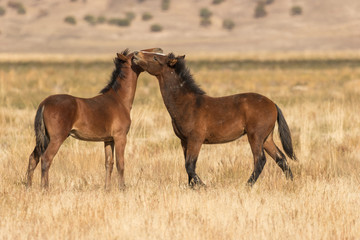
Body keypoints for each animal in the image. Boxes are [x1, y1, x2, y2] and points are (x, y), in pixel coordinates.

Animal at [26, 47, 164, 189]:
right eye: (136, 54)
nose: (159, 50)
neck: (119, 100)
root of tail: (44, 103)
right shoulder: (120, 137)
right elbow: (120, 164)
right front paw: (122, 188)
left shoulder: (108, 140)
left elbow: (109, 163)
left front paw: (107, 188)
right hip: (56, 138)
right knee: (46, 159)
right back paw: (45, 188)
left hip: (44, 139)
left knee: (33, 159)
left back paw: (28, 187)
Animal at [134, 51, 296, 188]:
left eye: (156, 58)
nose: (136, 54)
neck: (187, 104)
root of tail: (273, 104)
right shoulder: (184, 141)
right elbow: (187, 166)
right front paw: (192, 187)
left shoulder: (196, 139)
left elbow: (190, 165)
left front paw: (203, 186)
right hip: (267, 138)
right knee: (281, 158)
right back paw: (292, 182)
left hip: (255, 136)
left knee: (260, 160)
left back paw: (247, 185)